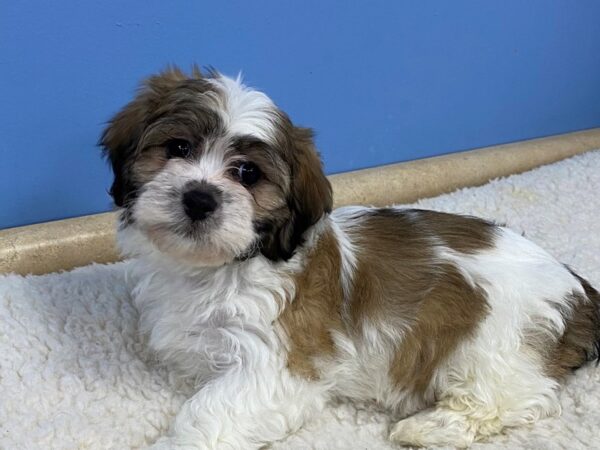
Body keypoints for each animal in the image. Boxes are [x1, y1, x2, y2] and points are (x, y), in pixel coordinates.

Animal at [101, 67, 596, 450]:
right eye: (178, 148)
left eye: (248, 174)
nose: (200, 198)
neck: (221, 267)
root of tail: (576, 288)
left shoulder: (275, 362)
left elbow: (208, 412)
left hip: (492, 344)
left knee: (514, 397)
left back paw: (428, 427)